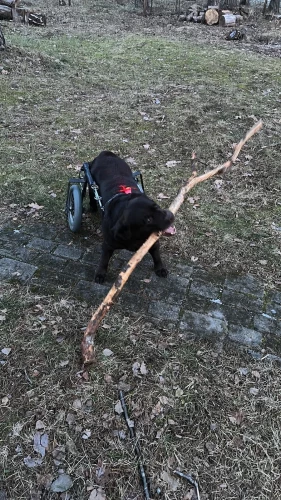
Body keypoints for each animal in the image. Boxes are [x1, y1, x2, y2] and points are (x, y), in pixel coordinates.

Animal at [88, 150, 174, 284]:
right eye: (148, 219)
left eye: (157, 206)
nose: (171, 215)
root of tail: (105, 153)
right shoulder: (107, 244)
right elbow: (104, 260)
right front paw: (100, 274)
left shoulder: (153, 242)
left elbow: (156, 255)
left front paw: (160, 268)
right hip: (92, 185)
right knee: (91, 194)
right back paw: (92, 207)